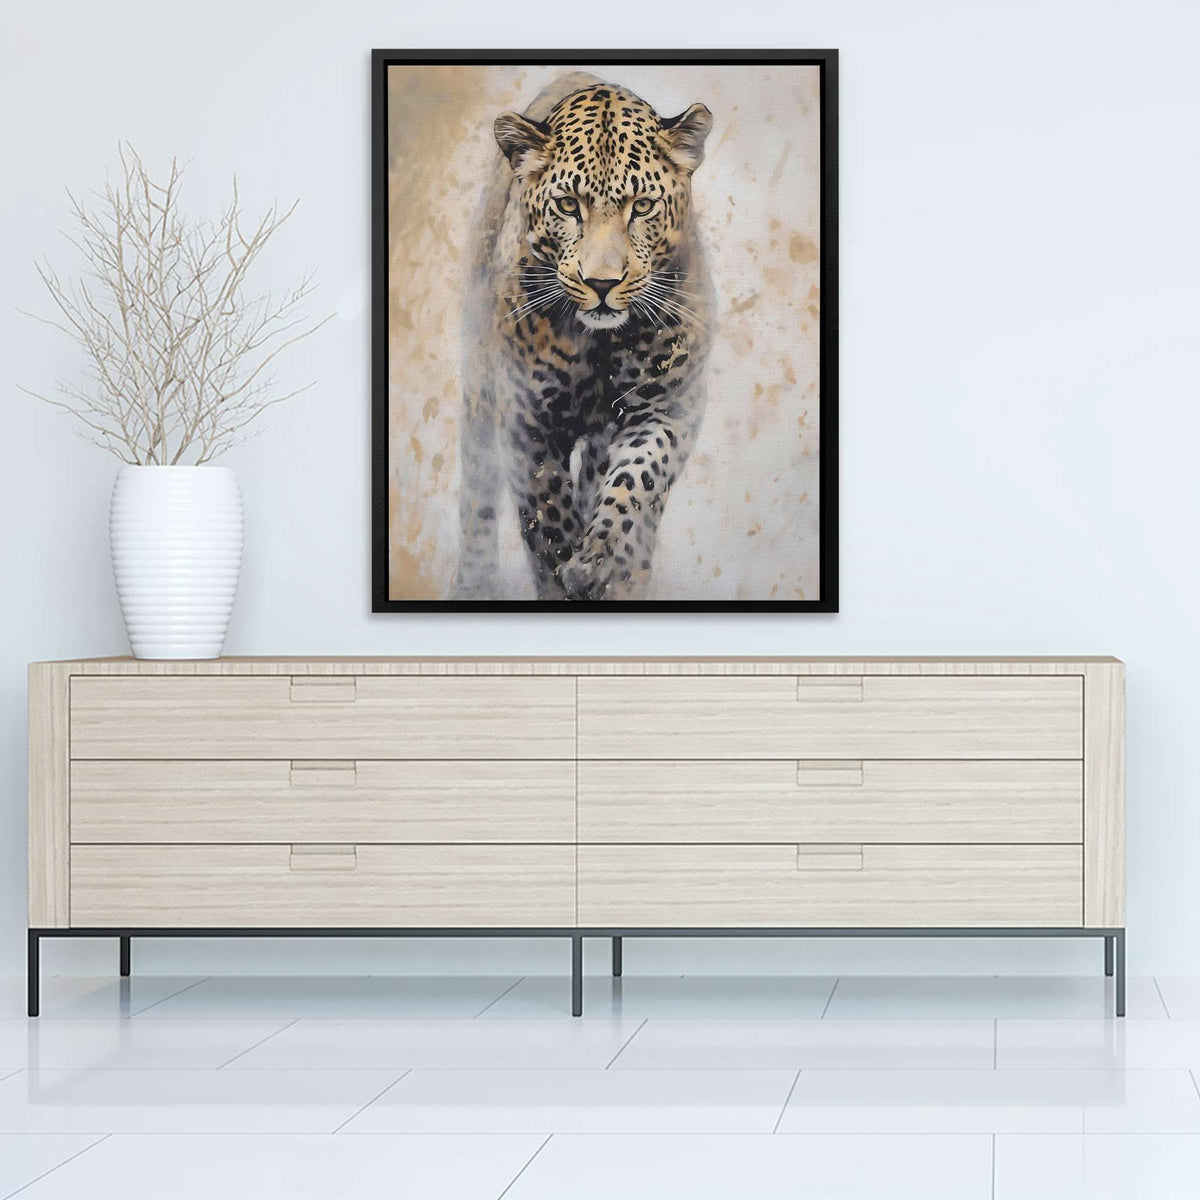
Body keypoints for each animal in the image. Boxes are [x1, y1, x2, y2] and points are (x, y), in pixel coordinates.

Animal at [453, 73, 715, 601]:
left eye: (643, 206)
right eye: (568, 205)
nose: (602, 283)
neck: (600, 345)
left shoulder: (669, 407)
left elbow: (636, 481)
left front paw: (601, 562)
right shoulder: (526, 421)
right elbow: (548, 517)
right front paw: (564, 576)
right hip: (478, 390)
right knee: (477, 490)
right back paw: (474, 582)